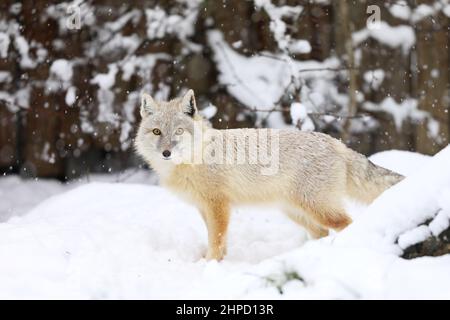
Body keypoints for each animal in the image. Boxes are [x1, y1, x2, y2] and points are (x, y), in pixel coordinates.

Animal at [134, 89, 404, 262]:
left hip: (319, 208)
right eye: (157, 132)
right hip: (297, 211)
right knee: (321, 233)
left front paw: (210, 265)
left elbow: (217, 239)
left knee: (347, 224)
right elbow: (215, 239)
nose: (166, 152)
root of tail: (336, 142)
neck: (195, 158)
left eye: (179, 132)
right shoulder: (204, 207)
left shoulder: (218, 205)